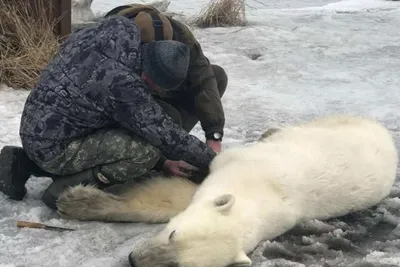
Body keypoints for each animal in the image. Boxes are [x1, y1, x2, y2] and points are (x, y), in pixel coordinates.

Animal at [56, 115, 396, 267]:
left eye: (180, 266)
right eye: (173, 234)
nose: (133, 259)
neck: (260, 194)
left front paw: (76, 200)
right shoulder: (236, 165)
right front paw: (75, 200)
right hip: (331, 126)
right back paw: (269, 130)